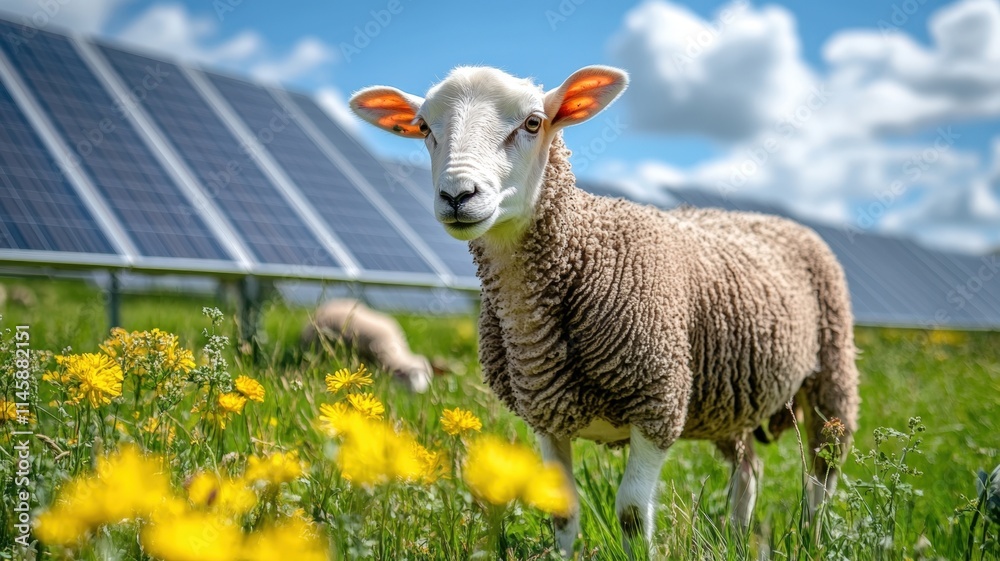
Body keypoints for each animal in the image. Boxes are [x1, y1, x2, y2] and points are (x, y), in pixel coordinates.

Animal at [349, 65, 860, 557]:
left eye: (533, 123)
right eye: (423, 127)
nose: (457, 196)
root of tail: (772, 219)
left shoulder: (658, 403)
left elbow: (632, 511)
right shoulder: (545, 414)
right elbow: (561, 510)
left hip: (832, 374)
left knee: (822, 472)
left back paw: (813, 537)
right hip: (727, 401)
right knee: (749, 469)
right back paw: (737, 538)